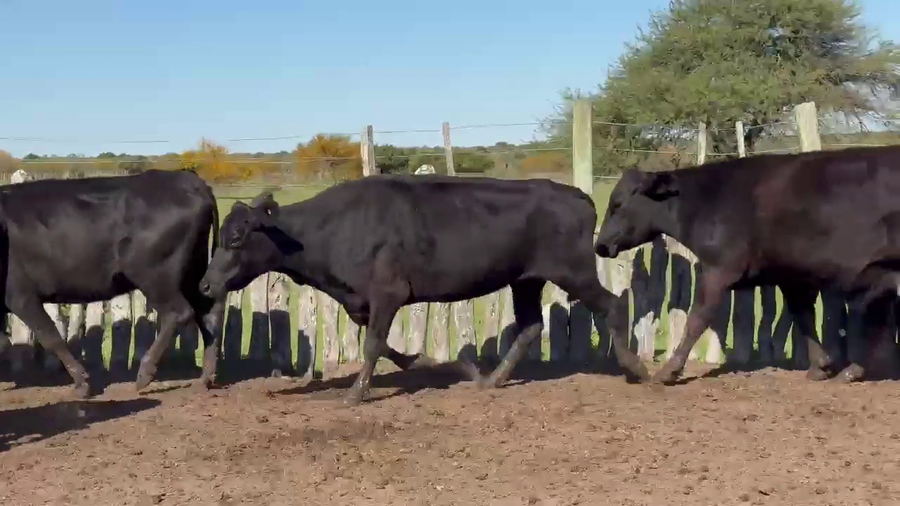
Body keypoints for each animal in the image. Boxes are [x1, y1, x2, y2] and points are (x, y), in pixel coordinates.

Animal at [0, 169, 227, 398]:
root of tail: (188, 179)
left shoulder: (20, 295)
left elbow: (49, 335)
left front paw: (82, 383)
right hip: (193, 271)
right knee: (207, 311)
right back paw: (206, 377)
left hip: (155, 275)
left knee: (178, 313)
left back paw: (144, 374)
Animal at [198, 174, 646, 405]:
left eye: (235, 238)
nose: (204, 283)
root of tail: (578, 195)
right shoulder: (366, 301)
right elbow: (387, 347)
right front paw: (445, 364)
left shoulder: (389, 292)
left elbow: (373, 344)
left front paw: (354, 394)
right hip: (526, 279)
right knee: (531, 326)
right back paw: (492, 380)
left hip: (573, 272)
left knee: (613, 304)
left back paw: (637, 368)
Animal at [595, 145, 900, 386]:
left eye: (617, 204)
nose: (600, 245)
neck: (708, 199)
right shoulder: (791, 276)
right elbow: (803, 317)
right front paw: (820, 365)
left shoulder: (719, 270)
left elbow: (696, 320)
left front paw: (668, 372)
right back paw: (852, 371)